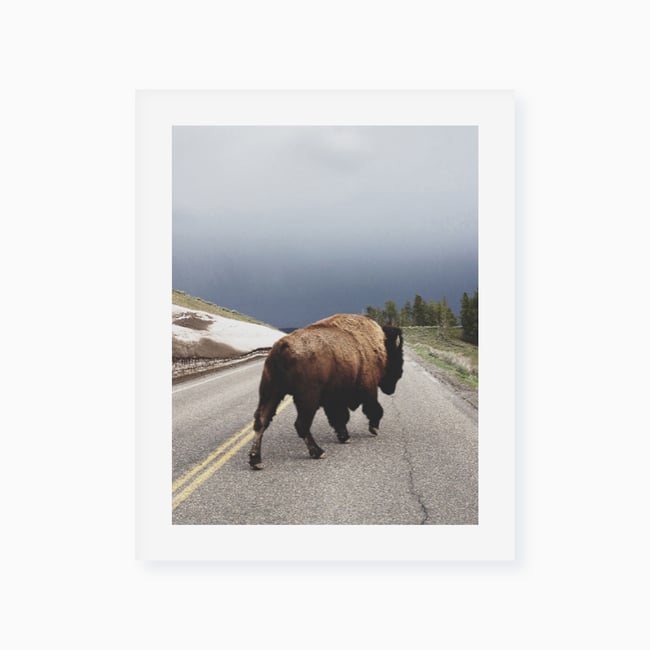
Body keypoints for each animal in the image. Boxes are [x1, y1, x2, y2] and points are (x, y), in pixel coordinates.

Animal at [248, 314, 403, 469]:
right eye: (397, 356)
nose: (399, 374)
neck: (379, 344)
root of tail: (282, 347)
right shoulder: (368, 388)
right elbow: (374, 409)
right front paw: (373, 429)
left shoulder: (334, 400)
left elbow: (339, 417)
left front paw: (344, 437)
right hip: (307, 399)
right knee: (301, 425)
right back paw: (318, 452)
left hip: (271, 393)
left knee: (261, 422)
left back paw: (256, 460)